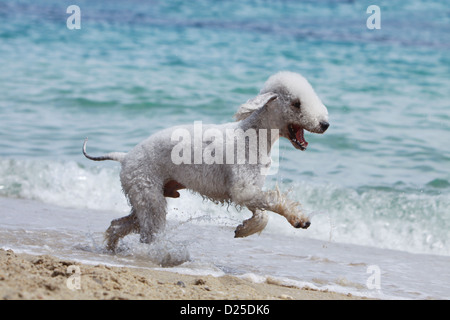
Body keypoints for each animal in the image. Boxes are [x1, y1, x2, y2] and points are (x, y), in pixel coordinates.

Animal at [84, 71, 328, 251]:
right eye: (296, 103)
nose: (325, 124)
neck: (253, 135)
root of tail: (125, 156)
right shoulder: (242, 189)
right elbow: (273, 201)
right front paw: (299, 219)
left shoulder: (251, 189)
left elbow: (262, 213)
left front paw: (244, 229)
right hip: (148, 193)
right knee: (148, 232)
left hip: (144, 197)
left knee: (119, 225)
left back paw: (113, 247)